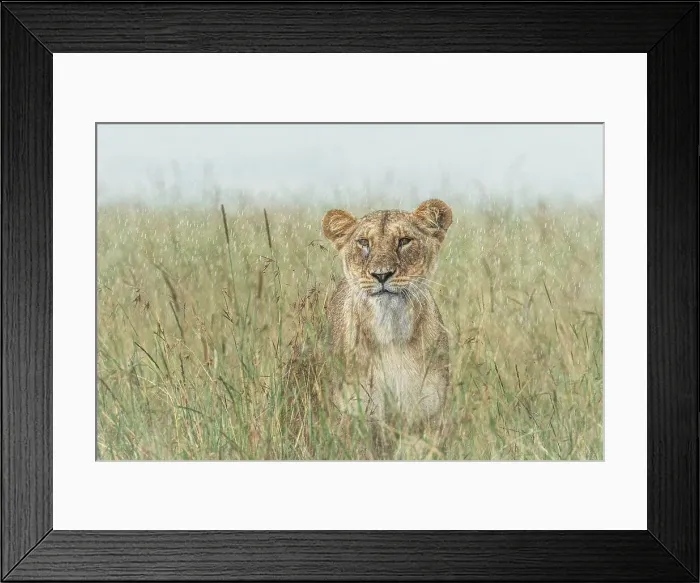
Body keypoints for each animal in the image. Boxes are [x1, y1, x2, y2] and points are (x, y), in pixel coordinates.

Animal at [321, 199, 452, 428]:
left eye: (404, 241)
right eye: (363, 242)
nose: (381, 274)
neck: (391, 330)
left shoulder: (428, 413)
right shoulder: (355, 412)